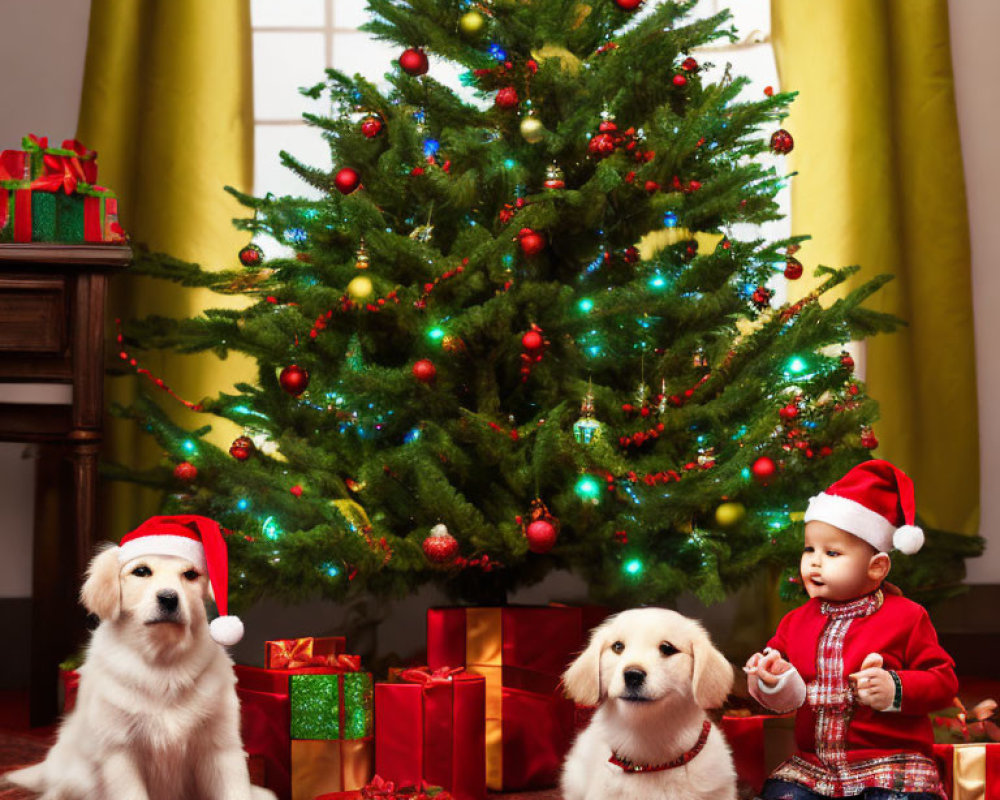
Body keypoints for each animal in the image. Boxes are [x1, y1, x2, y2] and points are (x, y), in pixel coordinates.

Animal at [3, 516, 276, 800]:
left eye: (190, 575)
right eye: (141, 571)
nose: (169, 598)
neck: (164, 660)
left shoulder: (220, 746)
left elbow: (235, 789)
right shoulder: (120, 750)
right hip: (77, 779)